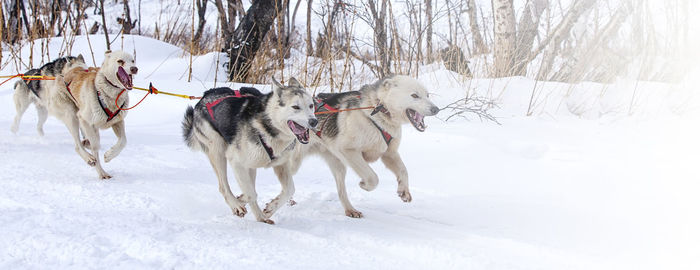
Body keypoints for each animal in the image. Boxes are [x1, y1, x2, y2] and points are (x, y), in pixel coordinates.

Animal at [51, 51, 139, 180]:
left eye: (133, 61)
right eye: (120, 61)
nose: (134, 69)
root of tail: (70, 71)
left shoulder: (118, 122)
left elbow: (123, 141)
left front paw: (109, 155)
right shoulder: (84, 119)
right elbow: (95, 147)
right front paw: (99, 165)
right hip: (72, 116)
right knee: (79, 145)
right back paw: (93, 163)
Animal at [183, 77, 320, 224]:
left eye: (311, 106)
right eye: (295, 107)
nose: (314, 121)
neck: (268, 126)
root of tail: (205, 96)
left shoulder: (281, 164)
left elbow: (290, 189)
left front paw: (270, 208)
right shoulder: (236, 161)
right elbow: (251, 193)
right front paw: (250, 208)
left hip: (251, 165)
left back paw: (250, 208)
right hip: (218, 152)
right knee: (224, 186)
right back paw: (237, 205)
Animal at [310, 75, 438, 218]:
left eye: (427, 95)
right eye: (415, 95)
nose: (436, 109)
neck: (379, 111)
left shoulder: (389, 153)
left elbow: (404, 171)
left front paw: (404, 189)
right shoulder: (349, 151)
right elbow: (373, 177)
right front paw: (364, 185)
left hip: (338, 166)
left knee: (341, 191)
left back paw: (350, 210)